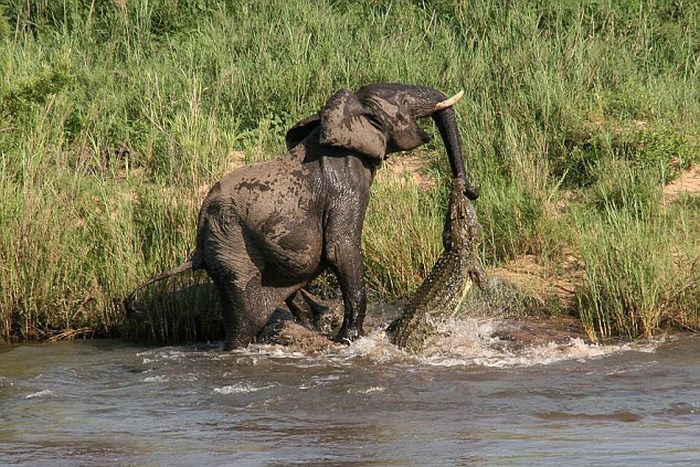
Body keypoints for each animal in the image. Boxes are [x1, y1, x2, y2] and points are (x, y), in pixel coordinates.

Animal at [124, 82, 476, 350]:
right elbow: (341, 248)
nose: (467, 189)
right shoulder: (345, 185)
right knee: (243, 317)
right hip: (232, 247)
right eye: (403, 101)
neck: (341, 116)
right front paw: (350, 339)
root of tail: (197, 247)